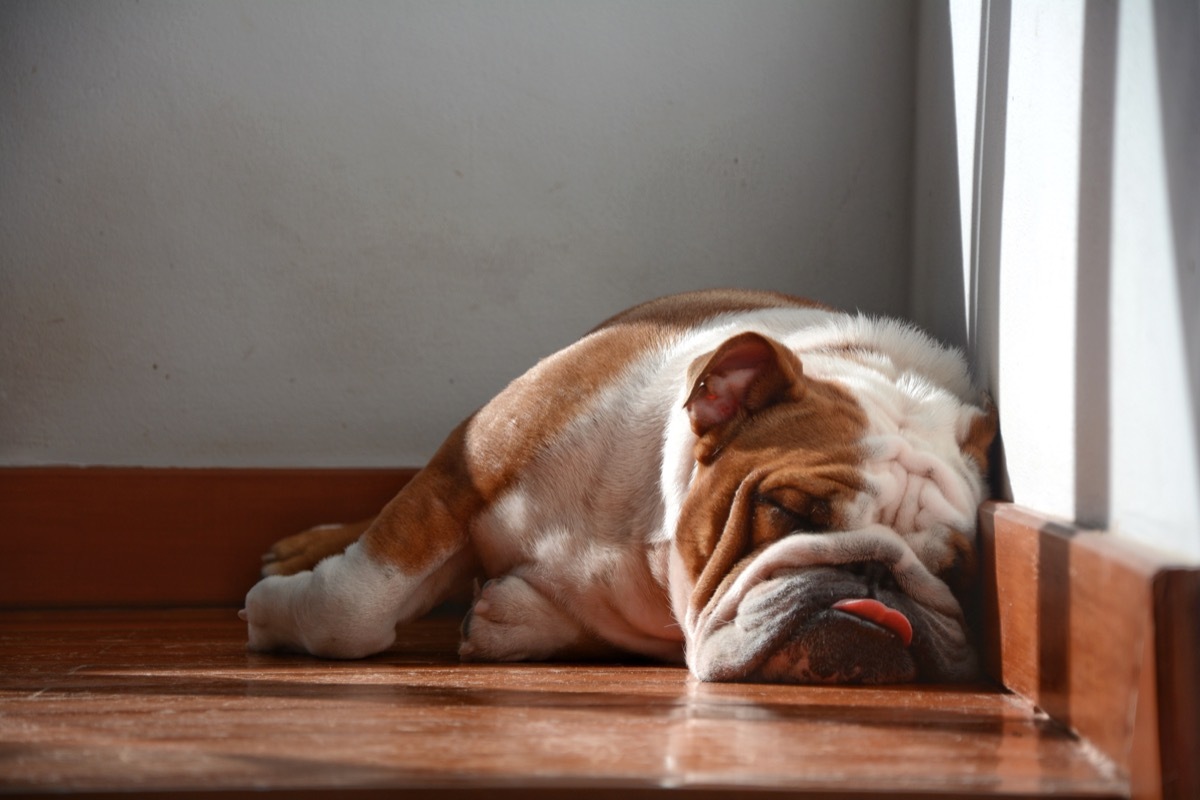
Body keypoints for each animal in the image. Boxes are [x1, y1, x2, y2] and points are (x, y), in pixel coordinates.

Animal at [241, 291, 993, 686]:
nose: (874, 574)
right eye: (785, 509)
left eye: (957, 573)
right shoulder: (460, 474)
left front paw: (512, 617)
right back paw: (299, 551)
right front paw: (273, 612)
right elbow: (351, 608)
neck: (648, 539)